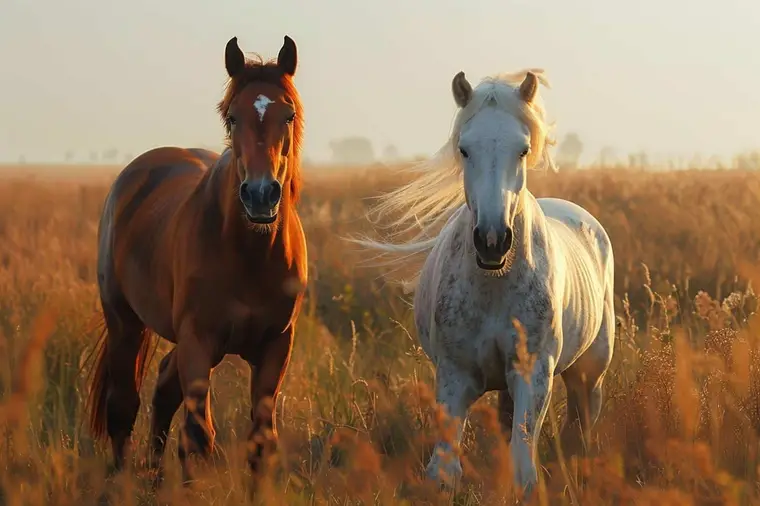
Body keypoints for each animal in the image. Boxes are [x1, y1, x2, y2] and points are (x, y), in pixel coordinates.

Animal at [85, 35, 308, 484]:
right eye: (233, 117)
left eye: (288, 115)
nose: (261, 195)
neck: (249, 256)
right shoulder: (198, 340)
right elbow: (197, 436)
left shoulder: (277, 344)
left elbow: (260, 441)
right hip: (124, 322)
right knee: (124, 406)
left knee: (163, 388)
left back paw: (154, 476)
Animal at [352, 70, 615, 496]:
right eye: (464, 149)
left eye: (523, 150)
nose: (492, 240)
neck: (494, 283)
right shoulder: (455, 375)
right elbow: (444, 469)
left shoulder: (532, 374)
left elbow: (524, 466)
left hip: (589, 372)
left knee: (582, 423)